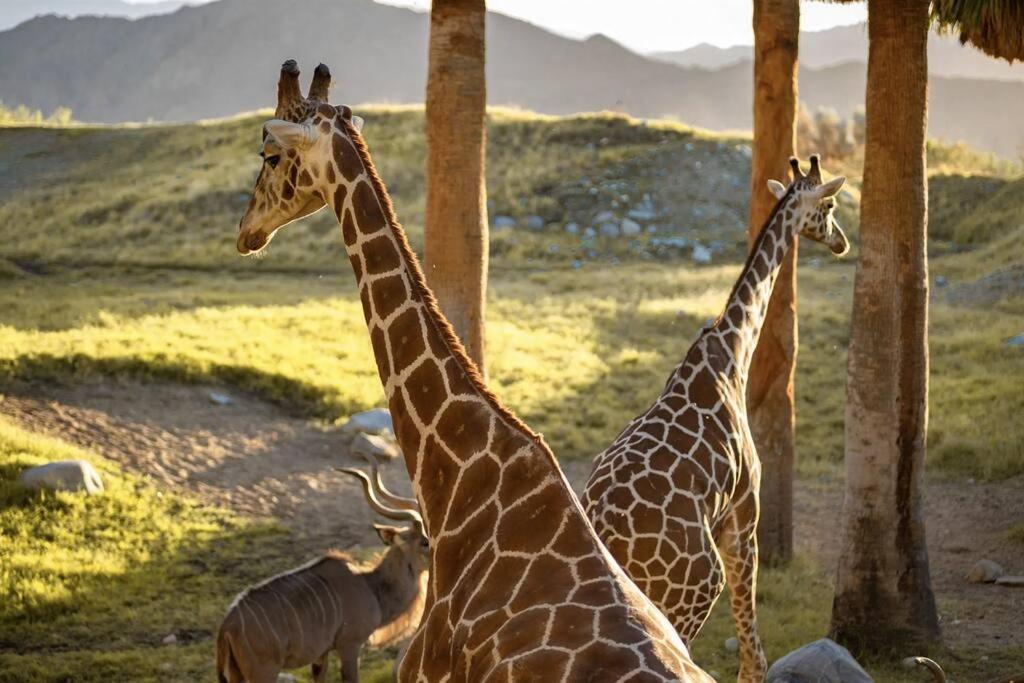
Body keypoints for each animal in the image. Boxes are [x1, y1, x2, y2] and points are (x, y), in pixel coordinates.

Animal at [216, 466, 428, 683]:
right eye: (425, 541)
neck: (371, 586)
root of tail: (226, 628)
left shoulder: (321, 654)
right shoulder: (350, 645)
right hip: (264, 672)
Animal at [581, 156, 851, 683]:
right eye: (829, 205)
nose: (842, 242)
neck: (731, 353)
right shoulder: (743, 517)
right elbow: (753, 654)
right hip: (692, 591)